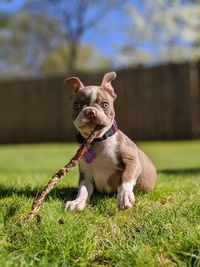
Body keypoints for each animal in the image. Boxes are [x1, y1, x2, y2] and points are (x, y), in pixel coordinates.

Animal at [64, 71, 156, 211]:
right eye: (76, 105)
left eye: (105, 105)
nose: (90, 111)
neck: (97, 141)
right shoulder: (86, 176)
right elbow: (83, 189)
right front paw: (77, 202)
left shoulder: (132, 161)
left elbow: (125, 178)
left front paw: (124, 197)